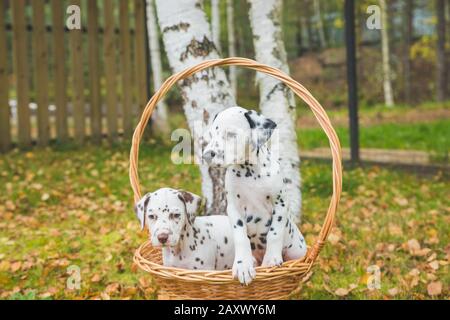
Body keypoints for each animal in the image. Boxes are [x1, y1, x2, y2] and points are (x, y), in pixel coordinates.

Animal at [203, 107, 306, 284]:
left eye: (231, 134)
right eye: (211, 134)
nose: (206, 155)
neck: (249, 172)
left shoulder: (280, 204)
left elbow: (274, 233)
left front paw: (271, 259)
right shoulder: (234, 209)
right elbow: (241, 237)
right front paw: (242, 265)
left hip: (297, 250)